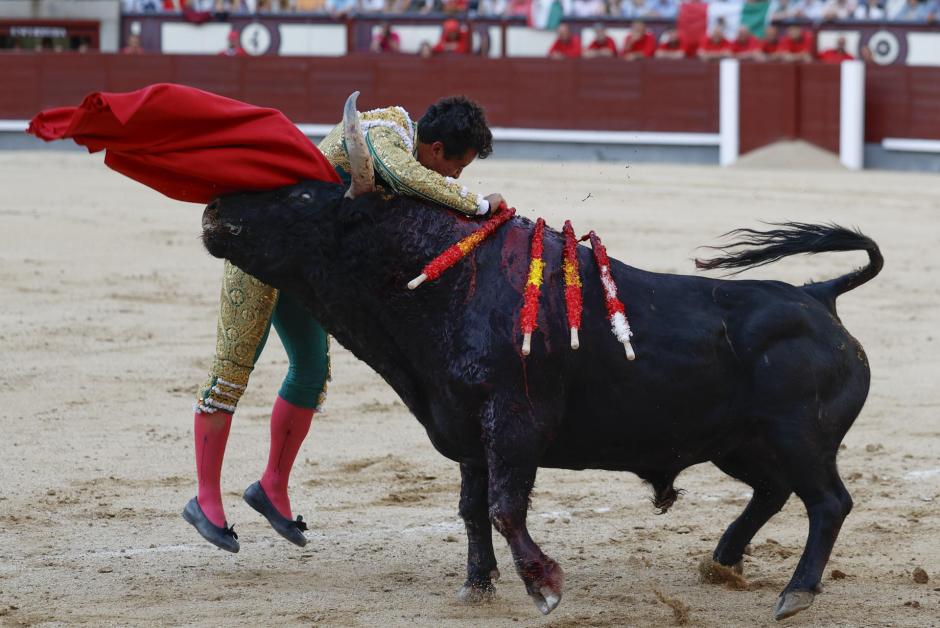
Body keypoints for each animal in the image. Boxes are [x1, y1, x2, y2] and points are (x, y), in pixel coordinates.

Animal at [198, 179, 880, 620]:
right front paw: (477, 586)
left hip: (799, 438)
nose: (214, 210)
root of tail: (819, 295)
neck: (447, 283)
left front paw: (544, 585)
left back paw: (795, 593)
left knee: (828, 502)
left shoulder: (515, 423)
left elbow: (505, 507)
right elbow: (473, 509)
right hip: (738, 443)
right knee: (774, 491)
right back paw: (723, 561)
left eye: (301, 196)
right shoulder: (469, 431)